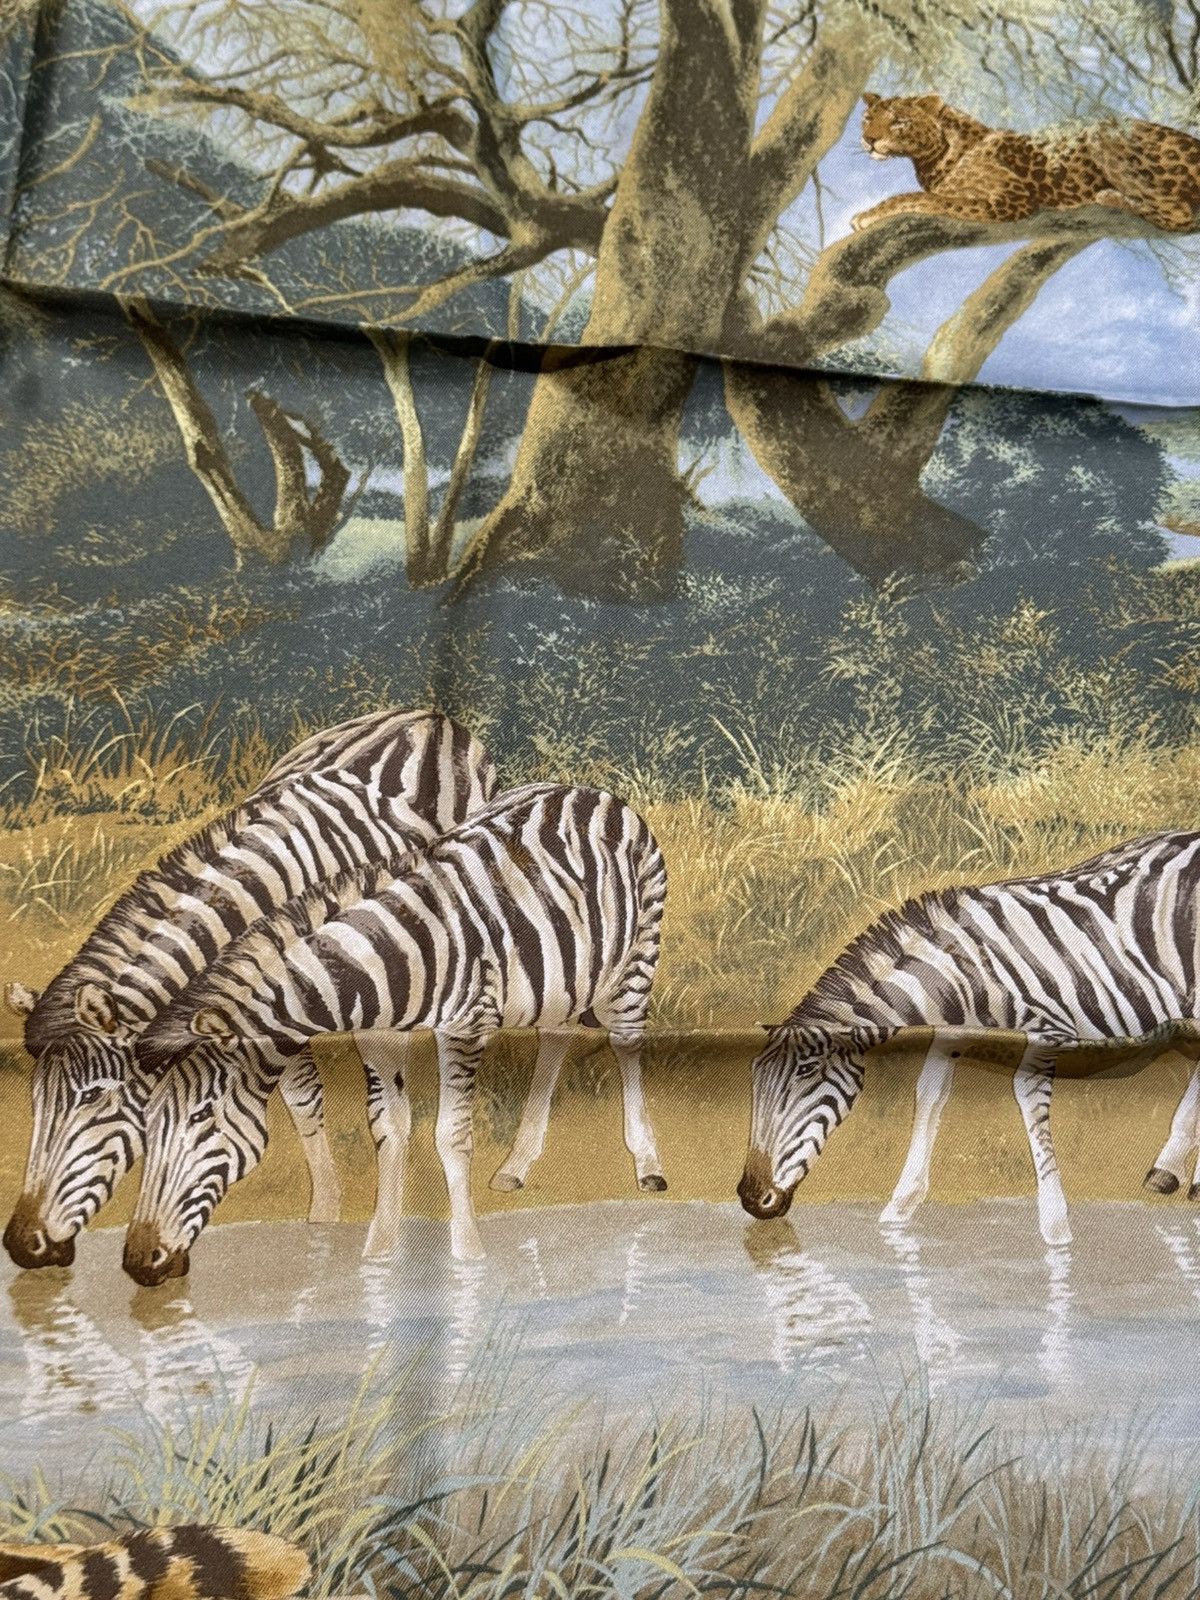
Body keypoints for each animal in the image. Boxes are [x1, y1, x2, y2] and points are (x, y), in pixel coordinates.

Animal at [852, 92, 1200, 235]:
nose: (869, 140)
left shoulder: (1012, 198)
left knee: (1179, 214)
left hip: (1102, 132)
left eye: (899, 122)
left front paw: (868, 215)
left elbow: (924, 198)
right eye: (868, 118)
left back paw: (1109, 196)